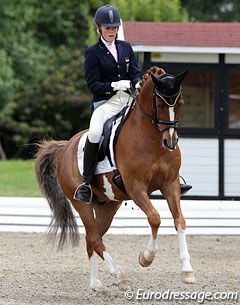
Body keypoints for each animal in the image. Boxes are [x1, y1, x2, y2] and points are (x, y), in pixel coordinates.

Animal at [35, 66, 195, 290]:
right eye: (161, 104)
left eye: (180, 103)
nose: (170, 142)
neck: (152, 140)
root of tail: (67, 146)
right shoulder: (136, 187)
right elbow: (154, 218)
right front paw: (146, 257)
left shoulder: (170, 185)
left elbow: (179, 220)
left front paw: (187, 271)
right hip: (81, 203)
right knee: (94, 238)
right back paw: (119, 276)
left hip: (107, 205)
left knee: (91, 239)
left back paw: (96, 284)